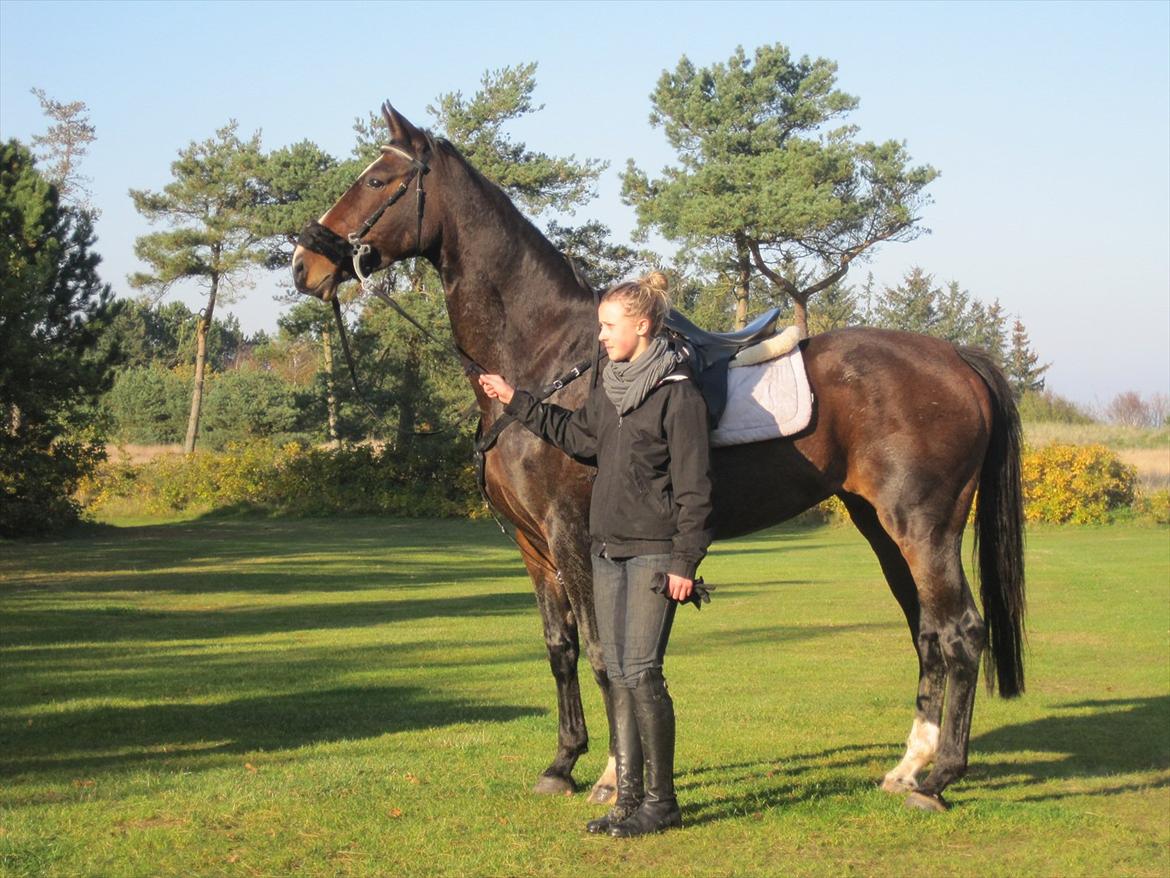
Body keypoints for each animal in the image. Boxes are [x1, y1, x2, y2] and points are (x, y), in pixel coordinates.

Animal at [290, 104, 1024, 819]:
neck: (550, 362)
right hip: (881, 526)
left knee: (961, 631)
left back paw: (940, 779)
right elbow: (560, 649)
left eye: (378, 180)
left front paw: (613, 778)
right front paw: (562, 763)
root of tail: (958, 359)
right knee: (928, 632)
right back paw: (908, 768)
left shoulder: (573, 535)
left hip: (923, 528)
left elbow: (602, 654)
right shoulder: (532, 546)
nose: (304, 264)